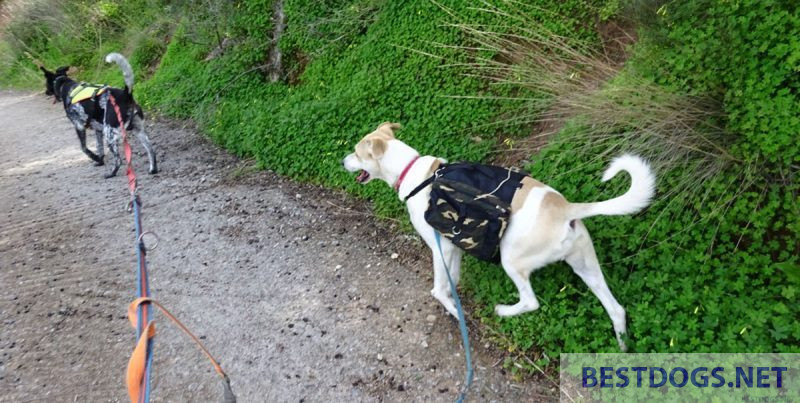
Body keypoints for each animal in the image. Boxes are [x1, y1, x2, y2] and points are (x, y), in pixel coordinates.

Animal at [340, 122, 652, 350]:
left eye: (356, 153)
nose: (343, 161)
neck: (416, 174)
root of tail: (567, 209)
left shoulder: (441, 248)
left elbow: (439, 289)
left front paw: (455, 312)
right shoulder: (454, 248)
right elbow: (453, 281)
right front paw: (457, 306)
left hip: (512, 261)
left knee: (531, 301)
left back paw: (503, 310)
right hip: (586, 267)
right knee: (617, 310)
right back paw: (623, 351)